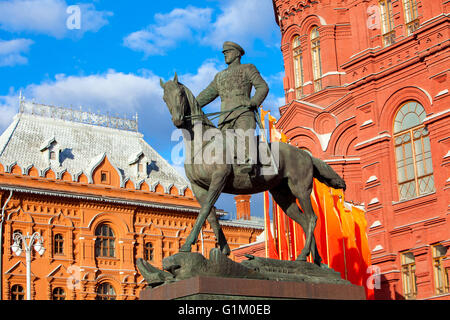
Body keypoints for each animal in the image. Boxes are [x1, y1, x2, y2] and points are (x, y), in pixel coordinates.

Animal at [160, 74, 346, 264]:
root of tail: (305, 154)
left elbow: (204, 211)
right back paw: (316, 261)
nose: (177, 120)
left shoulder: (219, 178)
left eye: (180, 94)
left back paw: (304, 256)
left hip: (301, 190)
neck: (203, 143)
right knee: (303, 220)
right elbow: (210, 215)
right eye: (164, 98)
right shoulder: (198, 187)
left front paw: (186, 245)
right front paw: (224, 249)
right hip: (283, 197)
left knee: (312, 218)